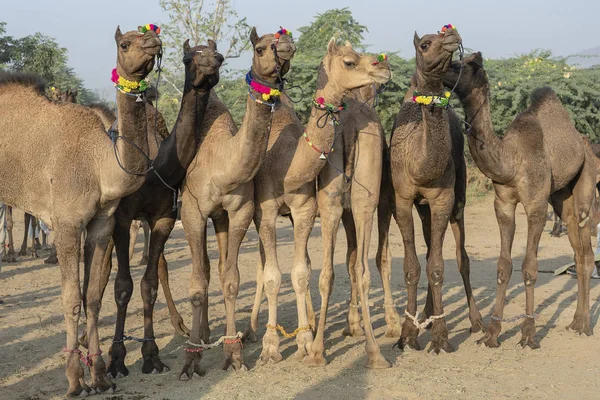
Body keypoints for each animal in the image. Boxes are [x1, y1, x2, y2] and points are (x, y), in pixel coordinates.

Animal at [0, 25, 162, 396]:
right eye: (124, 43)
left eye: (148, 32)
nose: (153, 42)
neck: (99, 162)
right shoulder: (68, 224)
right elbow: (71, 299)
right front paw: (75, 380)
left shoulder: (102, 223)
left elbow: (93, 296)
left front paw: (101, 376)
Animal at [178, 28, 296, 378]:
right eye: (260, 47)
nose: (286, 46)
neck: (222, 164)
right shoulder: (191, 211)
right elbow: (196, 285)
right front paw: (190, 359)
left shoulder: (239, 211)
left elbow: (230, 280)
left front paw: (234, 354)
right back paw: (198, 338)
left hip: (220, 218)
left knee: (214, 267)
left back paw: (209, 336)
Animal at [246, 40, 392, 368]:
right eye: (350, 61)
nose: (383, 66)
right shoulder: (267, 210)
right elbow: (275, 273)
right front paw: (274, 346)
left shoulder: (305, 207)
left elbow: (299, 271)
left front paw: (300, 342)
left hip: (349, 200)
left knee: (347, 267)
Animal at [382, 27, 486, 354]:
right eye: (425, 44)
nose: (451, 33)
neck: (421, 162)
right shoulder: (401, 200)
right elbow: (412, 267)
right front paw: (406, 335)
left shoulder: (443, 199)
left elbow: (439, 267)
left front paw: (441, 338)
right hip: (422, 206)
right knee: (429, 249)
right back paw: (424, 316)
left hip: (459, 197)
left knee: (461, 257)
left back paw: (475, 321)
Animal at [442, 52, 600, 346]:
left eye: (458, 65)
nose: (436, 68)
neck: (511, 160)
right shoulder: (503, 204)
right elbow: (504, 266)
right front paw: (492, 333)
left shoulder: (536, 205)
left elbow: (529, 267)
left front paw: (528, 333)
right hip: (560, 197)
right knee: (577, 249)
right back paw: (575, 321)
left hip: (586, 180)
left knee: (586, 250)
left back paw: (584, 324)